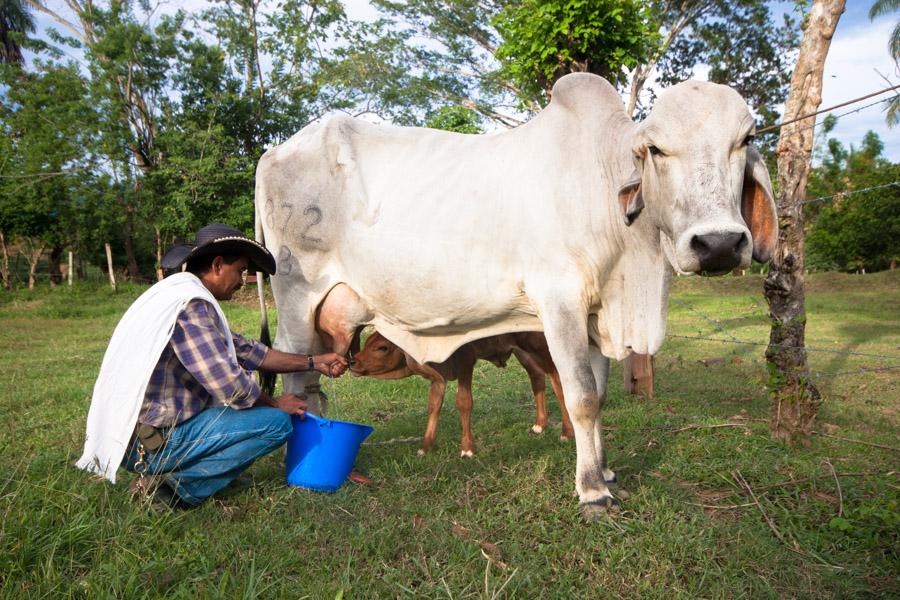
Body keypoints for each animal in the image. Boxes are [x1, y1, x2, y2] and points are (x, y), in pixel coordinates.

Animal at [256, 71, 776, 520]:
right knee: (296, 381)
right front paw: (592, 491)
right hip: (296, 299)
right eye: (656, 148)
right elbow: (580, 396)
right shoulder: (560, 300)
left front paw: (606, 471)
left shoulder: (595, 315)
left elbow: (600, 393)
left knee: (313, 386)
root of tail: (274, 152)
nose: (719, 244)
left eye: (745, 140)